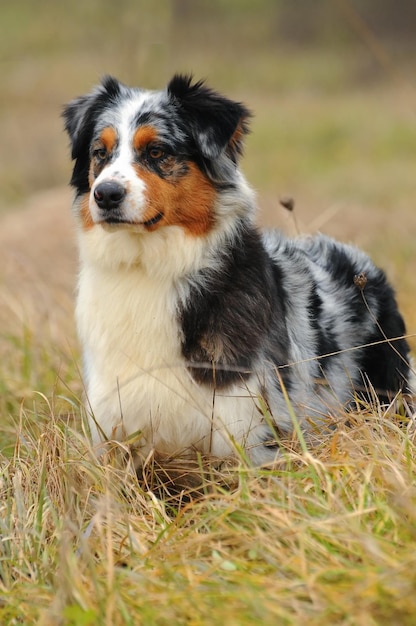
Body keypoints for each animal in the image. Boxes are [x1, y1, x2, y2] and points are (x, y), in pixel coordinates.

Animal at [63, 74, 414, 464]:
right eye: (100, 153)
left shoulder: (250, 430)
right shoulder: (114, 428)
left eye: (156, 151)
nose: (106, 194)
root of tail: (364, 265)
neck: (147, 266)